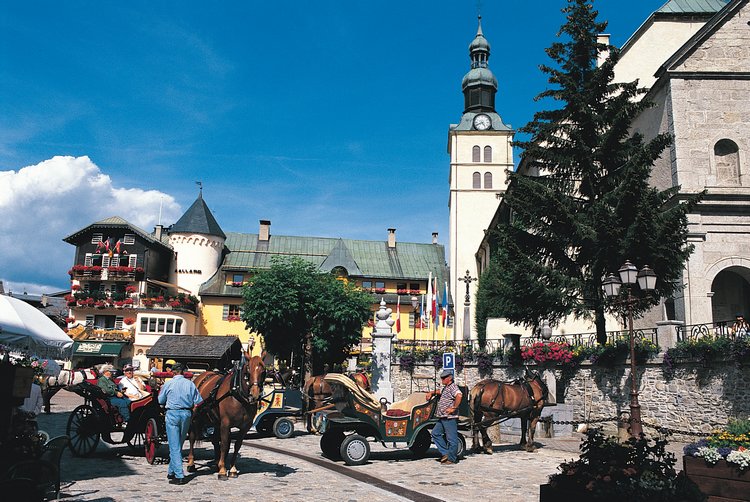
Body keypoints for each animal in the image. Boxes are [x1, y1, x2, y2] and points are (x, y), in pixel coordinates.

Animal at [188, 352, 268, 480]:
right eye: (248, 371)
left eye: (263, 371)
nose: (254, 394)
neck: (238, 394)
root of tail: (202, 376)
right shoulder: (226, 423)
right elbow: (225, 444)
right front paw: (222, 470)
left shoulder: (245, 427)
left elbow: (237, 445)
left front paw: (232, 469)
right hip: (196, 417)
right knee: (192, 437)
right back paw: (191, 463)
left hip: (216, 421)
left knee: (215, 440)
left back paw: (216, 462)